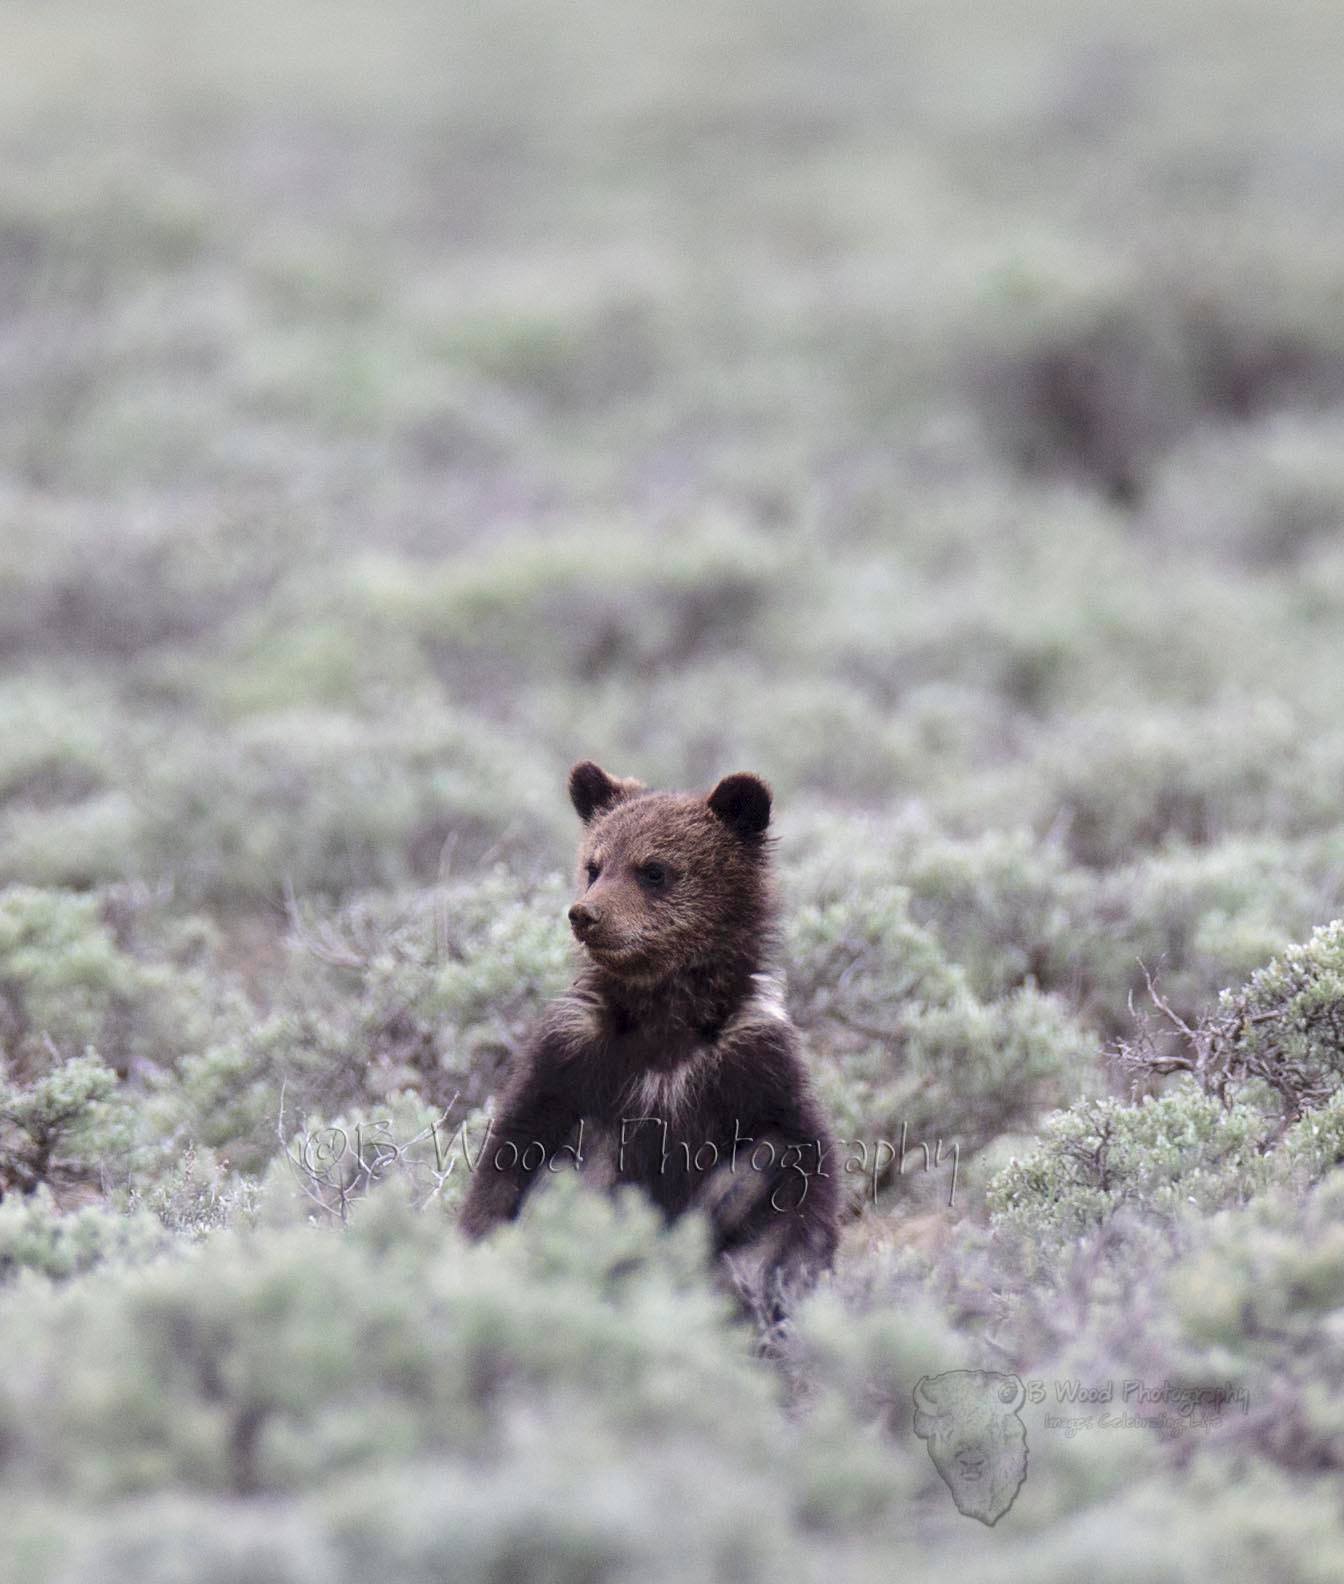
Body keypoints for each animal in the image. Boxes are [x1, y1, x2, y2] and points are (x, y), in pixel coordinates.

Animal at [460, 761, 840, 1328]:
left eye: (654, 869)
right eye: (594, 865)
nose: (585, 914)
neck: (664, 1021)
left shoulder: (752, 1063)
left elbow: (795, 1168)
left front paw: (771, 1275)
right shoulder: (572, 1056)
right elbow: (515, 1152)